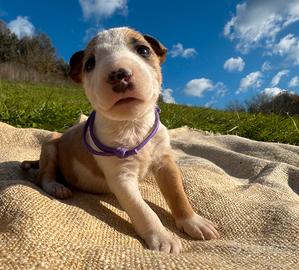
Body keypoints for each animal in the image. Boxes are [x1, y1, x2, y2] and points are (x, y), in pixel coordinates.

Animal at [20, 27, 218, 253]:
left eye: (143, 50)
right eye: (90, 64)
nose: (118, 74)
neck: (132, 123)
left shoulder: (165, 163)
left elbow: (177, 193)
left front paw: (193, 221)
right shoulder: (122, 178)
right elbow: (143, 210)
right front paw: (163, 237)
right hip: (51, 145)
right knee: (43, 175)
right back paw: (56, 187)